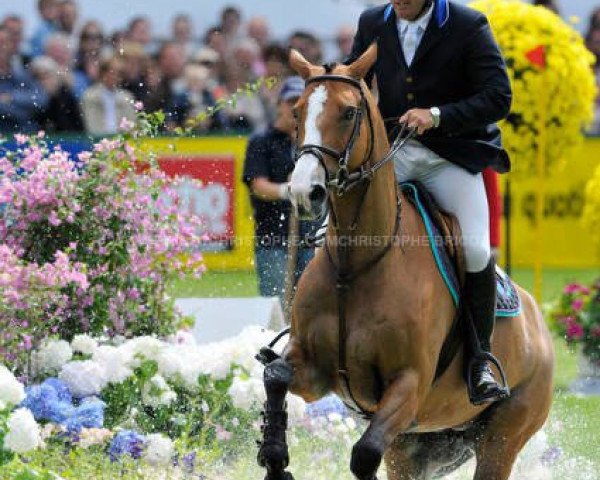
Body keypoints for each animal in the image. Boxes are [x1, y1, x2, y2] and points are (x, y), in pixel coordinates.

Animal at [255, 43, 556, 478]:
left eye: (349, 112)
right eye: (297, 112)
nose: (303, 191)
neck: (355, 262)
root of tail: (541, 327)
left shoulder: (408, 385)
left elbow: (364, 454)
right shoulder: (313, 370)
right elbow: (276, 374)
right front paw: (275, 457)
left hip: (502, 437)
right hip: (417, 443)